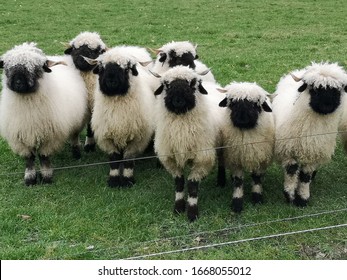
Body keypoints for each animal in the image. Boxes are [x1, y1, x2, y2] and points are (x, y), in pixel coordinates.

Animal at [0, 42, 88, 186]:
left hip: (78, 120)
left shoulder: (49, 137)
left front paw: (46, 177)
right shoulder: (20, 137)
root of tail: (59, 58)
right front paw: (30, 179)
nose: (18, 82)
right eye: (8, 67)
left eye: (36, 68)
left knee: (74, 136)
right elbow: (29, 159)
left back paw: (76, 153)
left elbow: (43, 156)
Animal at [83, 46, 154, 188]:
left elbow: (128, 160)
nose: (111, 81)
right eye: (102, 68)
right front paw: (114, 180)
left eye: (126, 69)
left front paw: (127, 180)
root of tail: (130, 48)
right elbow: (114, 160)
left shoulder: (136, 139)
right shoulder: (107, 136)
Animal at [153, 65, 226, 221]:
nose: (178, 100)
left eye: (192, 83)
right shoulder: (171, 159)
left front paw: (192, 214)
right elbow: (179, 183)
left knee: (222, 161)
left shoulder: (202, 158)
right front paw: (178, 208)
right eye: (166, 84)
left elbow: (192, 186)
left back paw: (221, 181)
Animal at [219, 82, 276, 213]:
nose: (242, 118)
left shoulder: (260, 157)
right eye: (233, 103)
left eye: (255, 104)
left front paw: (257, 198)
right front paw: (237, 203)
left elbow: (257, 178)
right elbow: (238, 181)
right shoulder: (236, 159)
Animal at [274, 61, 347, 206]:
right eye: (314, 88)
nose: (326, 106)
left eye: (337, 90)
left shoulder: (313, 153)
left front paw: (302, 198)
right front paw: (290, 196)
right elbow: (291, 172)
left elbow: (305, 176)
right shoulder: (288, 151)